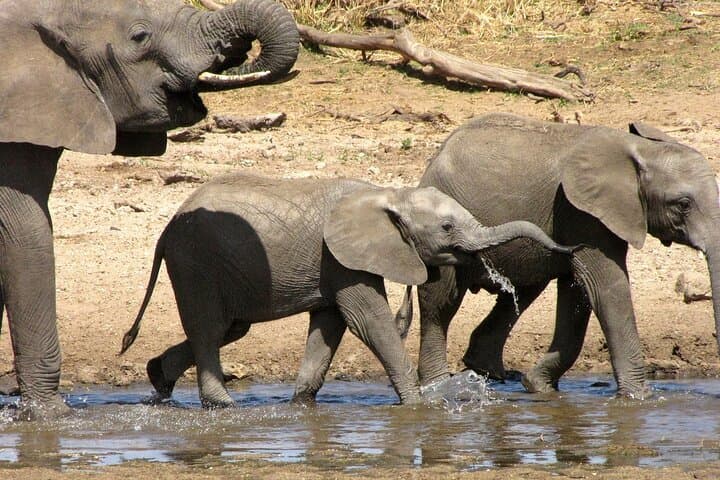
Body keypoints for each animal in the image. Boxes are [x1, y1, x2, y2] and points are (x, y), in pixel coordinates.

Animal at [119, 173, 579, 407]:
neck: (391, 194)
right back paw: (223, 406)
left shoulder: (335, 266)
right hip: (195, 262)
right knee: (210, 328)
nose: (570, 247)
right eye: (447, 227)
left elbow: (330, 326)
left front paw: (301, 404)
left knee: (229, 328)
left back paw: (158, 378)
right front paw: (420, 406)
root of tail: (165, 229)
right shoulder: (341, 258)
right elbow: (367, 320)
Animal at [412, 113, 720, 398]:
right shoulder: (582, 214)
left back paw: (490, 373)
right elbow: (606, 288)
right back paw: (438, 385)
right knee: (439, 303)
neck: (640, 149)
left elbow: (578, 291)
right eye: (683, 204)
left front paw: (539, 387)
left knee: (522, 292)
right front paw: (639, 398)